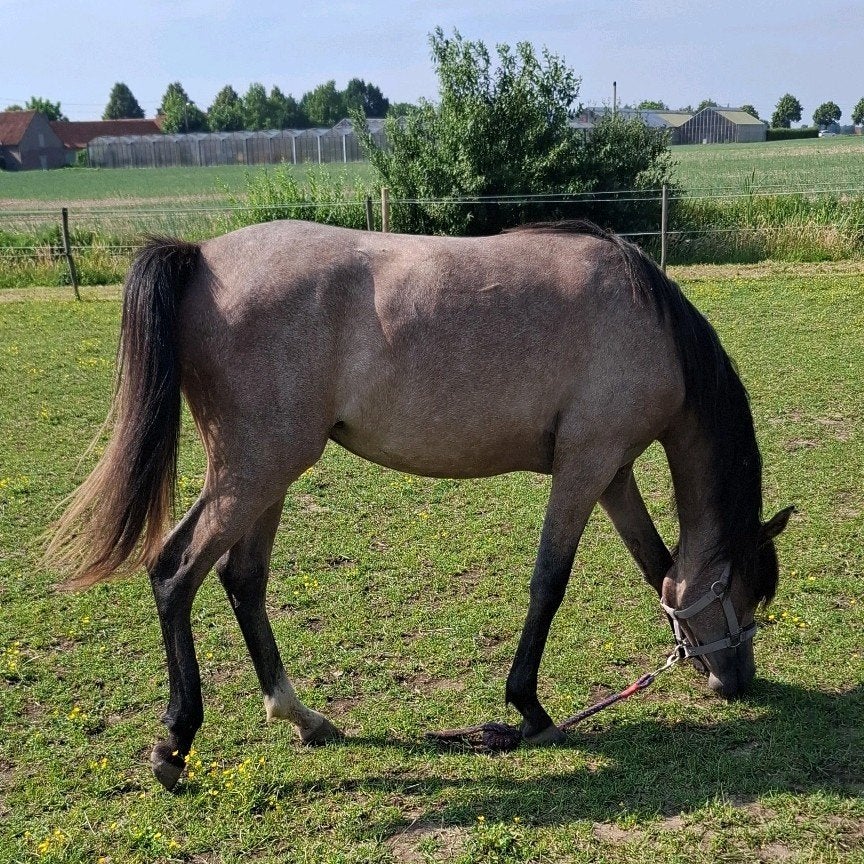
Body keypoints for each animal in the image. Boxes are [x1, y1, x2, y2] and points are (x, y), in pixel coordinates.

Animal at [46, 219, 791, 791]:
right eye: (744, 589)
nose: (737, 680)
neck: (647, 322)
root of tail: (201, 256)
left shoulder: (613, 474)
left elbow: (656, 565)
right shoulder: (586, 466)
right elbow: (549, 584)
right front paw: (531, 710)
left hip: (268, 474)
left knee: (243, 580)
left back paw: (302, 718)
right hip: (255, 470)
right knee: (175, 572)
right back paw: (175, 743)